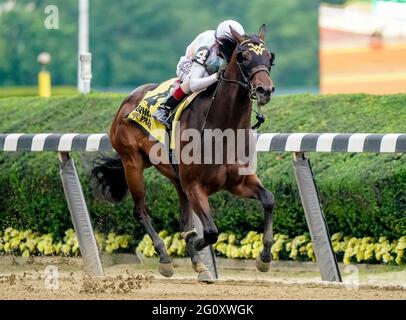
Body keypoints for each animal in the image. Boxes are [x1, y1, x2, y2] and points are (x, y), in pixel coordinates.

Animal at [91, 25, 276, 282]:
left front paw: (264, 258)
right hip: (133, 164)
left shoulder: (238, 181)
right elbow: (209, 232)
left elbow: (268, 200)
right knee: (140, 211)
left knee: (183, 220)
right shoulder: (195, 186)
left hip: (176, 178)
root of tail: (126, 102)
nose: (264, 89)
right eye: (243, 57)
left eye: (269, 57)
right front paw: (195, 246)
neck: (222, 130)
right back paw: (165, 258)